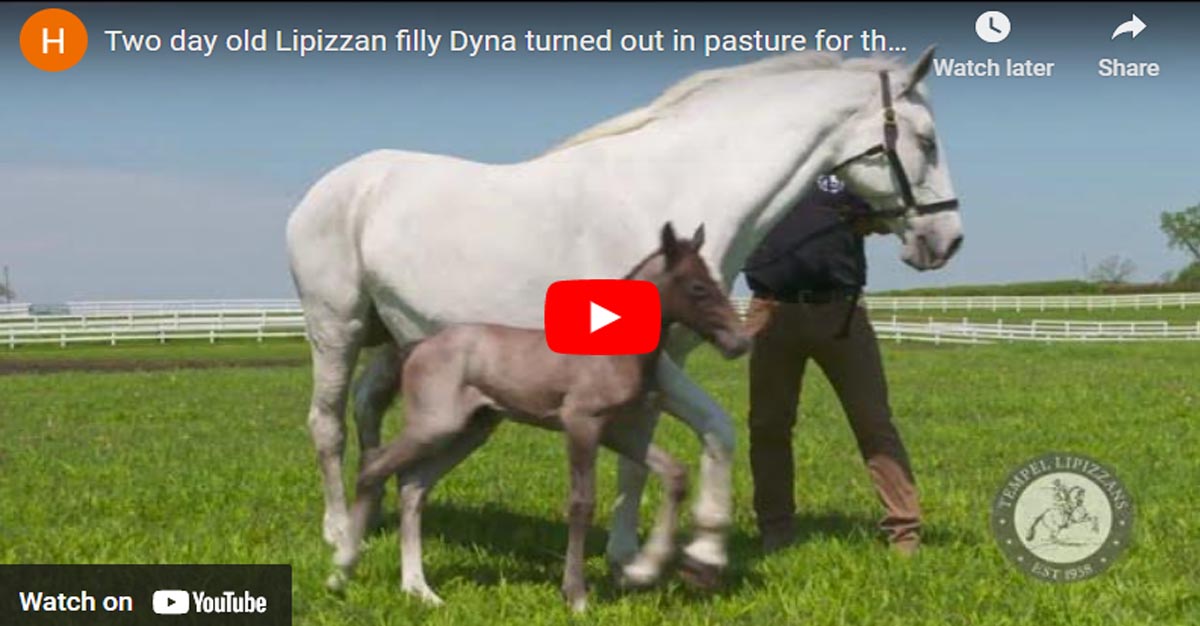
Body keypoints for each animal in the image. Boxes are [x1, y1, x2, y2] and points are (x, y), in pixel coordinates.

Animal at [288, 47, 964, 590]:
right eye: (927, 141)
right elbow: (717, 430)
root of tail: (334, 186)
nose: (947, 240)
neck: (675, 192)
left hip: (397, 339)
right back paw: (337, 534)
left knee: (370, 412)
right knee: (327, 426)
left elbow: (639, 458)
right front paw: (702, 553)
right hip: (336, 329)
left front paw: (630, 556)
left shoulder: (657, 367)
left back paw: (370, 516)